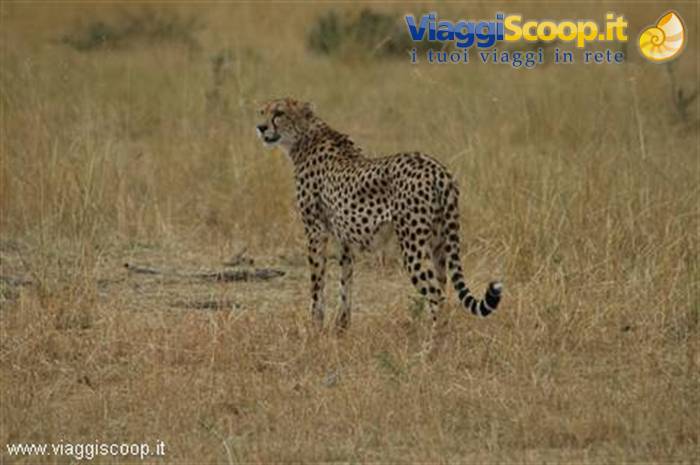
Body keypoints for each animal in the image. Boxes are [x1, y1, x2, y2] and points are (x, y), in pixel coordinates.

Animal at [255, 97, 502, 354]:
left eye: (279, 113)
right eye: (262, 111)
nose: (261, 127)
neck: (305, 136)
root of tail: (438, 170)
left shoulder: (315, 232)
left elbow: (317, 284)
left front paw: (315, 330)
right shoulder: (344, 239)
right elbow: (346, 283)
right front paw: (341, 329)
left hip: (412, 246)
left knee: (436, 295)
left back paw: (431, 347)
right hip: (440, 244)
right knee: (443, 288)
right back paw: (438, 340)